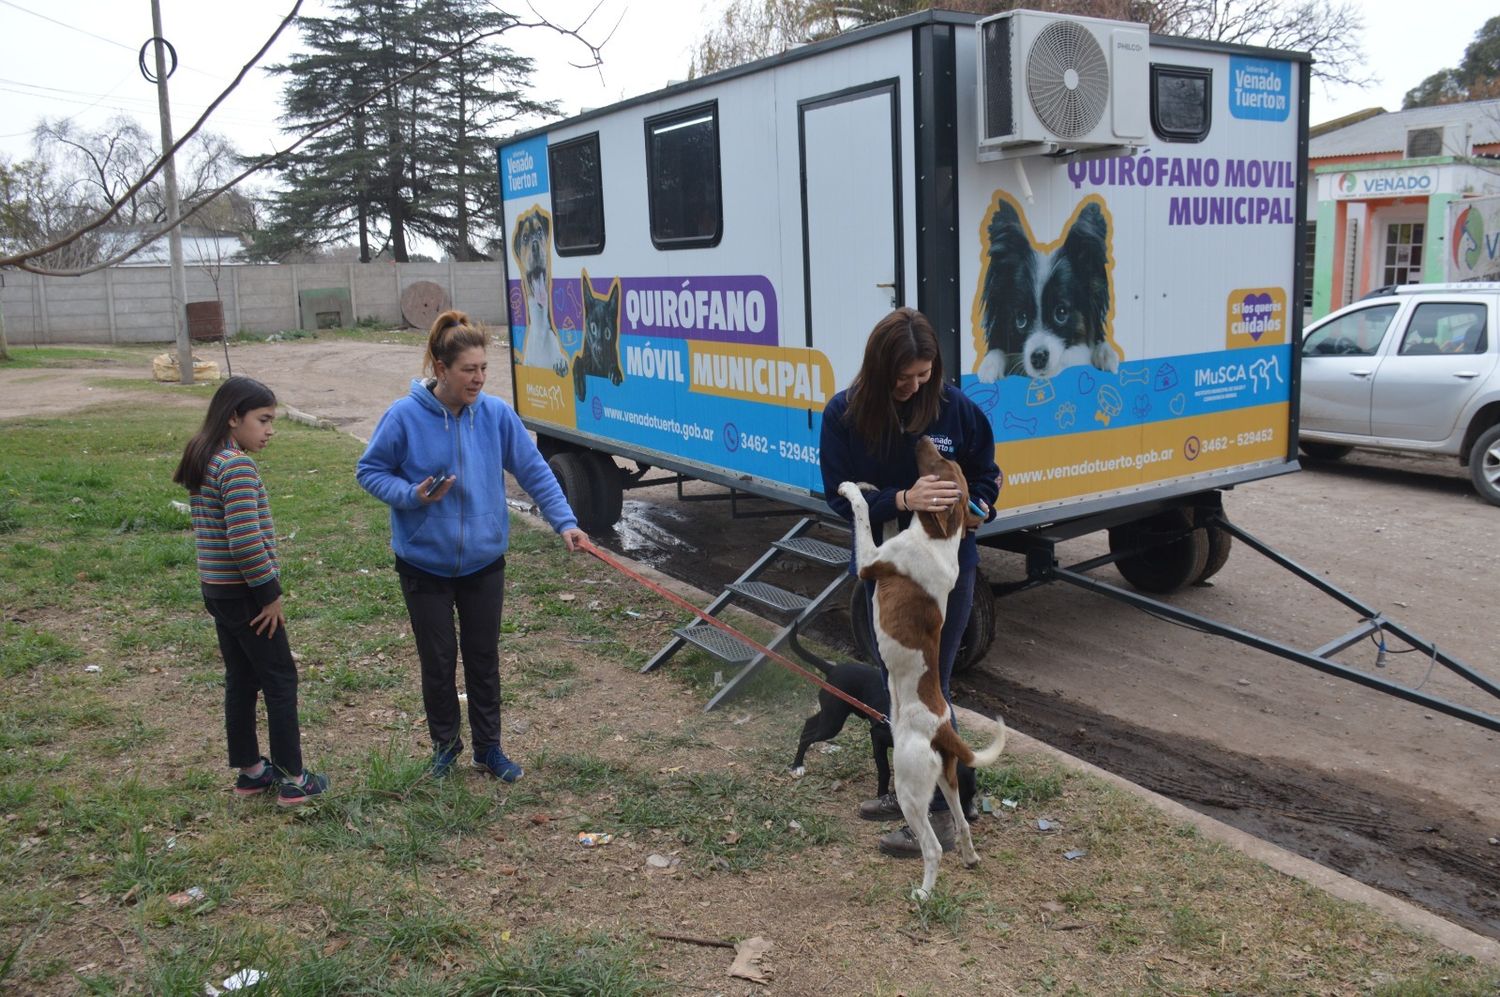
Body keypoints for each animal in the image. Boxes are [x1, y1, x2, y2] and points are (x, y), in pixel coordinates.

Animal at [786, 659, 888, 791]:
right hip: (833, 722)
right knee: (807, 737)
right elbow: (885, 771)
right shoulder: (877, 736)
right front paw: (883, 793)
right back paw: (797, 766)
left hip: (831, 714)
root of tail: (834, 668)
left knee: (809, 722)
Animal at [834, 437, 1008, 899]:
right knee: (962, 824)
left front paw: (852, 488)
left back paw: (925, 893)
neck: (939, 539)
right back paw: (970, 858)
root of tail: (944, 728)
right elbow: (886, 512)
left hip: (910, 788)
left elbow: (863, 515)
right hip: (945, 780)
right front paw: (874, 487)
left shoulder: (870, 561)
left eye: (942, 462)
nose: (921, 438)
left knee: (933, 847)